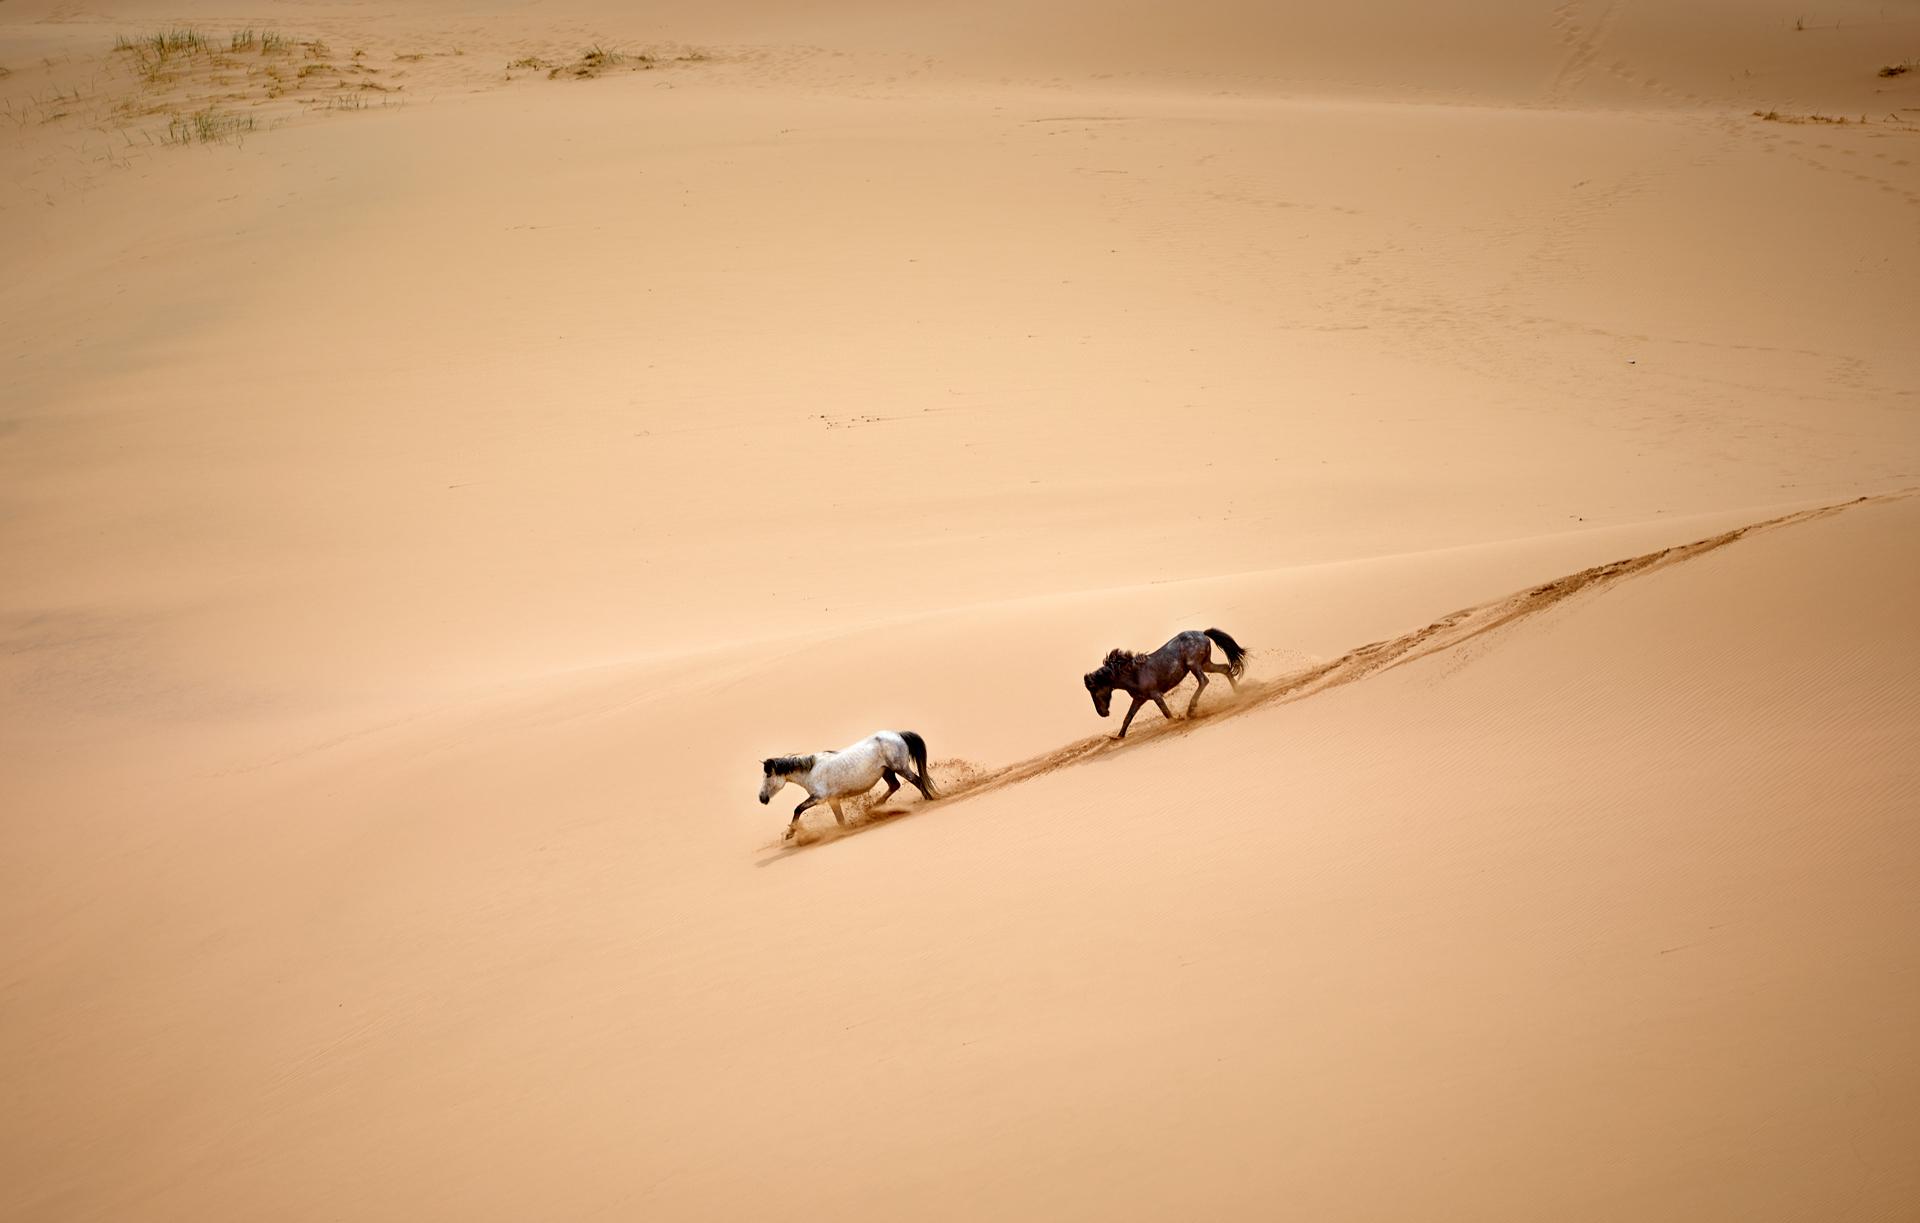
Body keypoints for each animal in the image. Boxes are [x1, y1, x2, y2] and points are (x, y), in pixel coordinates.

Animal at [764, 729, 944, 833]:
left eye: (768, 775)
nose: (762, 798)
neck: (811, 770)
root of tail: (898, 734)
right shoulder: (832, 800)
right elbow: (840, 820)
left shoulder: (819, 798)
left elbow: (798, 809)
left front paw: (790, 833)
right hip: (887, 771)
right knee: (895, 785)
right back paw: (874, 808)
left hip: (901, 768)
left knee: (918, 781)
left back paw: (928, 799)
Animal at [1082, 629, 1244, 733]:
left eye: (1094, 691)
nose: (1102, 713)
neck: (1134, 674)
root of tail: (1203, 633)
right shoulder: (1139, 699)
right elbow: (1128, 718)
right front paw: (1118, 737)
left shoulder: (1155, 695)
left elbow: (1165, 712)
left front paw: (1175, 722)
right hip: (1205, 664)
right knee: (1225, 669)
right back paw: (1238, 693)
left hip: (1194, 665)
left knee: (1204, 681)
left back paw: (1190, 710)